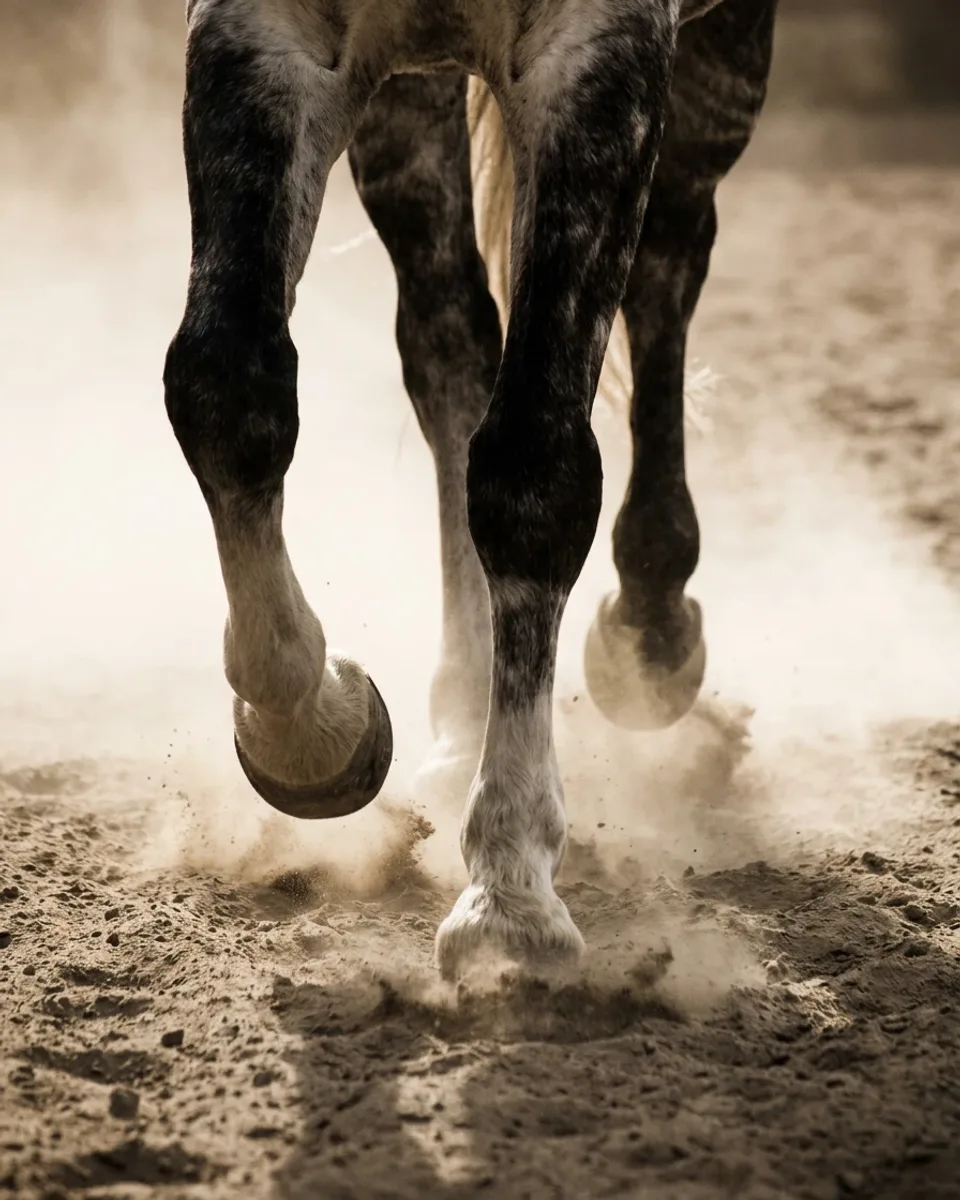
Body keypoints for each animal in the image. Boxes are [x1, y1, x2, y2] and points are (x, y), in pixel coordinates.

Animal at [163, 0, 778, 979]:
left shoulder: (601, 57)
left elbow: (534, 469)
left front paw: (510, 897)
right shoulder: (260, 34)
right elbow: (225, 387)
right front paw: (310, 729)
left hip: (716, 69)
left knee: (666, 266)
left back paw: (650, 630)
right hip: (411, 104)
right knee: (450, 337)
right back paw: (460, 715)